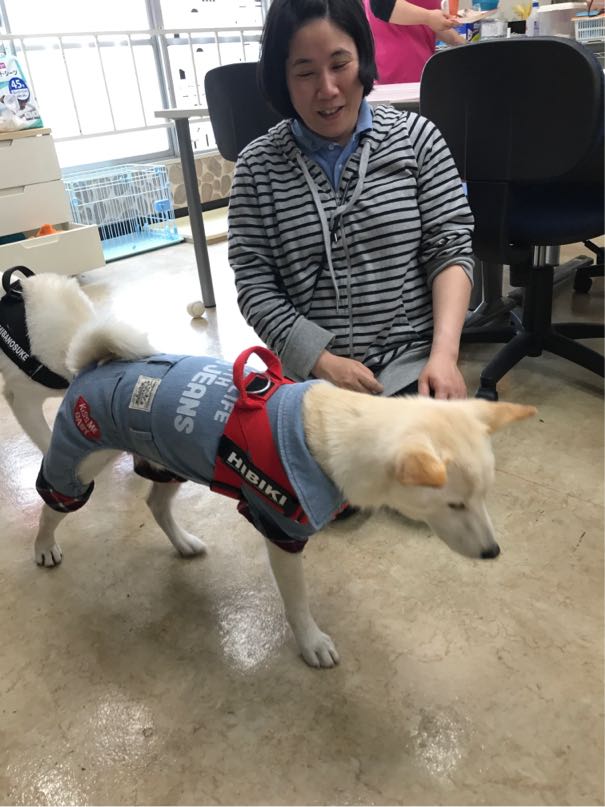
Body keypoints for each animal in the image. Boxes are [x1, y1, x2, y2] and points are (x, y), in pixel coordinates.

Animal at [32, 321, 536, 668]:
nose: (493, 552)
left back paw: (183, 543)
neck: (333, 433)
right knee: (52, 503)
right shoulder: (281, 530)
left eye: (484, 498)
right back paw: (44, 547)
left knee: (155, 505)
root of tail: (95, 365)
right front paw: (311, 643)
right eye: (454, 504)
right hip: (81, 459)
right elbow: (297, 602)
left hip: (166, 459)